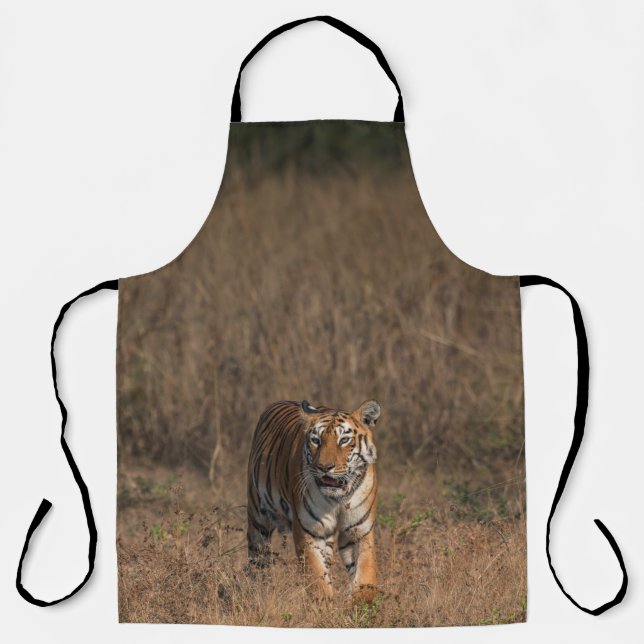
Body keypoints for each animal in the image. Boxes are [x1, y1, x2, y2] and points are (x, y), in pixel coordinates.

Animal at [247, 399, 381, 603]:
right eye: (316, 440)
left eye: (344, 440)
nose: (324, 467)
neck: (339, 497)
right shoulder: (309, 531)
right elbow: (317, 580)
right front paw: (326, 606)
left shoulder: (359, 530)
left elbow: (366, 576)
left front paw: (357, 602)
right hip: (258, 519)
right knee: (258, 560)